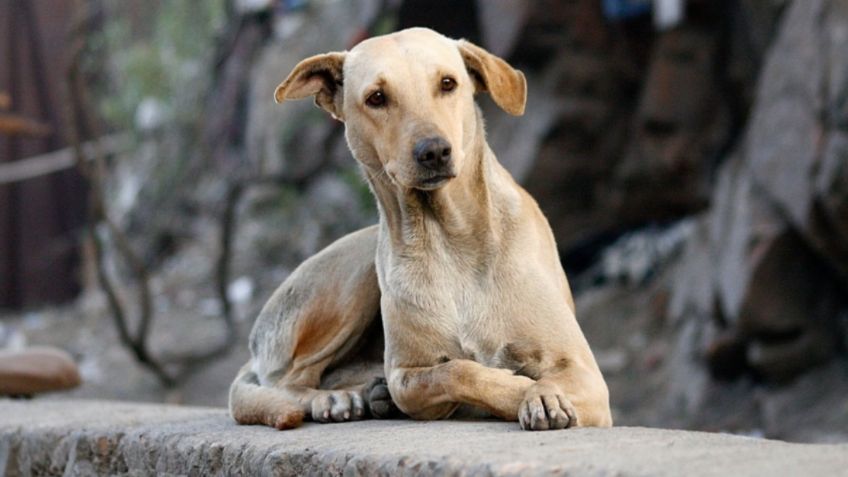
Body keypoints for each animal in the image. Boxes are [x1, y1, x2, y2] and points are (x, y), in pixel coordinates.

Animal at [229, 26, 612, 430]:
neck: (449, 238)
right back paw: (335, 398)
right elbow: (455, 371)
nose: (434, 151)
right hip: (351, 279)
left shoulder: (585, 373)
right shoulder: (407, 375)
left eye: (448, 83)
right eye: (377, 97)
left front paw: (541, 395)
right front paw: (521, 389)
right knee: (288, 380)